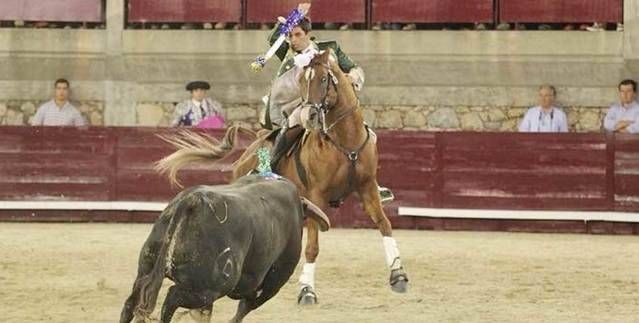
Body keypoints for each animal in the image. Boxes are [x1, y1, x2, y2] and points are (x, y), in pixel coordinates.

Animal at [119, 176, 330, 322]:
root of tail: (192, 200)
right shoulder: (272, 282)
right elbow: (243, 309)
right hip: (208, 287)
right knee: (171, 298)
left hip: (149, 267)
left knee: (133, 300)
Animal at [159, 50, 410, 304]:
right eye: (301, 82)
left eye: (323, 79)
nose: (309, 115)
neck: (345, 142)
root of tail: (251, 148)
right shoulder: (317, 195)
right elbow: (312, 246)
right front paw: (307, 290)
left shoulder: (367, 187)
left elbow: (385, 225)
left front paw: (398, 275)